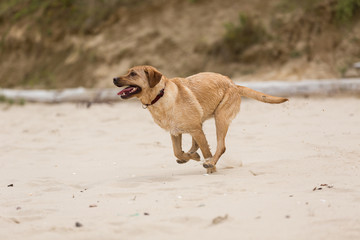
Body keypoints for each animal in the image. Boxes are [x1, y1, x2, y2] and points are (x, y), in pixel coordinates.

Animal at [112, 66, 286, 172]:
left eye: (133, 74)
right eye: (128, 72)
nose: (113, 78)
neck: (160, 95)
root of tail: (234, 84)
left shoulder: (195, 129)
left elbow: (206, 150)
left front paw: (210, 167)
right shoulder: (175, 132)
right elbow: (177, 152)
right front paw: (190, 157)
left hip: (220, 118)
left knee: (221, 146)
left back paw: (210, 162)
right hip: (201, 121)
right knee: (197, 144)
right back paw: (192, 155)